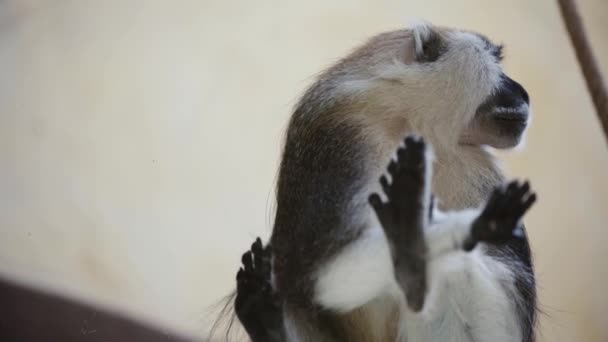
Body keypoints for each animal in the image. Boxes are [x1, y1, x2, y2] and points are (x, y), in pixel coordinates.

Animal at [217, 21, 536, 342]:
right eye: (495, 61)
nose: (522, 92)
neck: (407, 120)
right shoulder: (347, 135)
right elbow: (328, 274)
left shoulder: (474, 163)